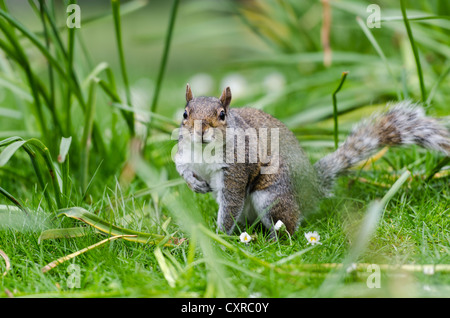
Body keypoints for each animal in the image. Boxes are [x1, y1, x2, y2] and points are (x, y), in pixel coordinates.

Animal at [175, 84, 450, 238]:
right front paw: (194, 183)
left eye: (222, 115)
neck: (203, 151)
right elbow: (182, 168)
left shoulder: (236, 169)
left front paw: (219, 237)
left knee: (287, 226)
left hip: (272, 197)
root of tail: (311, 189)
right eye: (185, 114)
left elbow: (230, 204)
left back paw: (272, 242)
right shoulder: (183, 152)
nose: (200, 130)